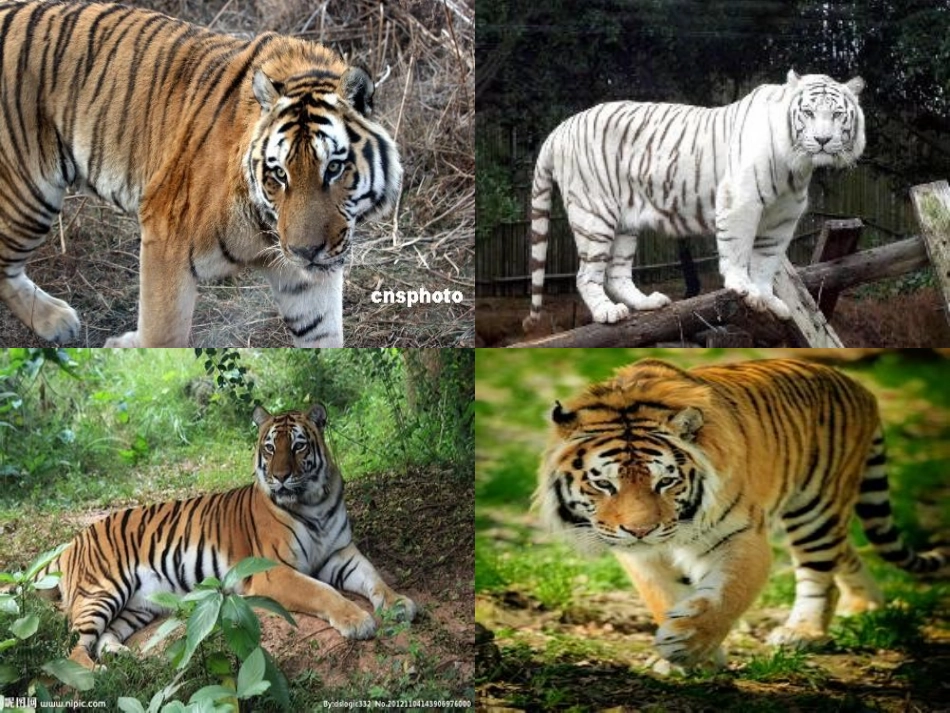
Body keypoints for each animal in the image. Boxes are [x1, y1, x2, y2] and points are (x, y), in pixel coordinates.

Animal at [0, 0, 402, 347]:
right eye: (279, 174)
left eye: (333, 168)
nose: (305, 252)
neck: (265, 224)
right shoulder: (166, 240)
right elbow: (162, 337)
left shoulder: (306, 280)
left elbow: (323, 337)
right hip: (27, 195)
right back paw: (55, 319)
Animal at [36, 403, 416, 669]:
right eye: (269, 448)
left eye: (298, 446)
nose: (279, 477)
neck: (313, 502)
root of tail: (75, 540)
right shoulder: (272, 572)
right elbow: (322, 592)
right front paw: (357, 621)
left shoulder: (340, 553)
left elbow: (374, 577)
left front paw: (399, 603)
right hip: (101, 590)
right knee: (73, 648)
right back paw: (95, 674)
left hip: (136, 605)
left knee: (104, 637)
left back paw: (120, 656)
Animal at [524, 70, 865, 332]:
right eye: (808, 113)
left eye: (837, 114)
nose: (822, 140)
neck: (797, 166)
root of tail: (561, 128)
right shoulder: (740, 201)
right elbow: (738, 250)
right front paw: (742, 287)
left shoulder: (783, 217)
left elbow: (766, 261)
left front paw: (768, 300)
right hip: (595, 213)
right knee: (586, 275)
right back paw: (607, 312)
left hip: (624, 221)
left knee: (616, 273)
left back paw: (646, 303)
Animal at [534, 358, 948, 670]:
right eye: (604, 484)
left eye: (665, 481)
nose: (641, 530)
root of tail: (860, 387)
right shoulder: (642, 556)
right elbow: (664, 596)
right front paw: (691, 658)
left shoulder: (741, 536)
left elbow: (726, 594)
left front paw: (687, 642)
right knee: (845, 553)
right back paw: (865, 606)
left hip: (816, 508)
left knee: (820, 576)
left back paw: (803, 633)